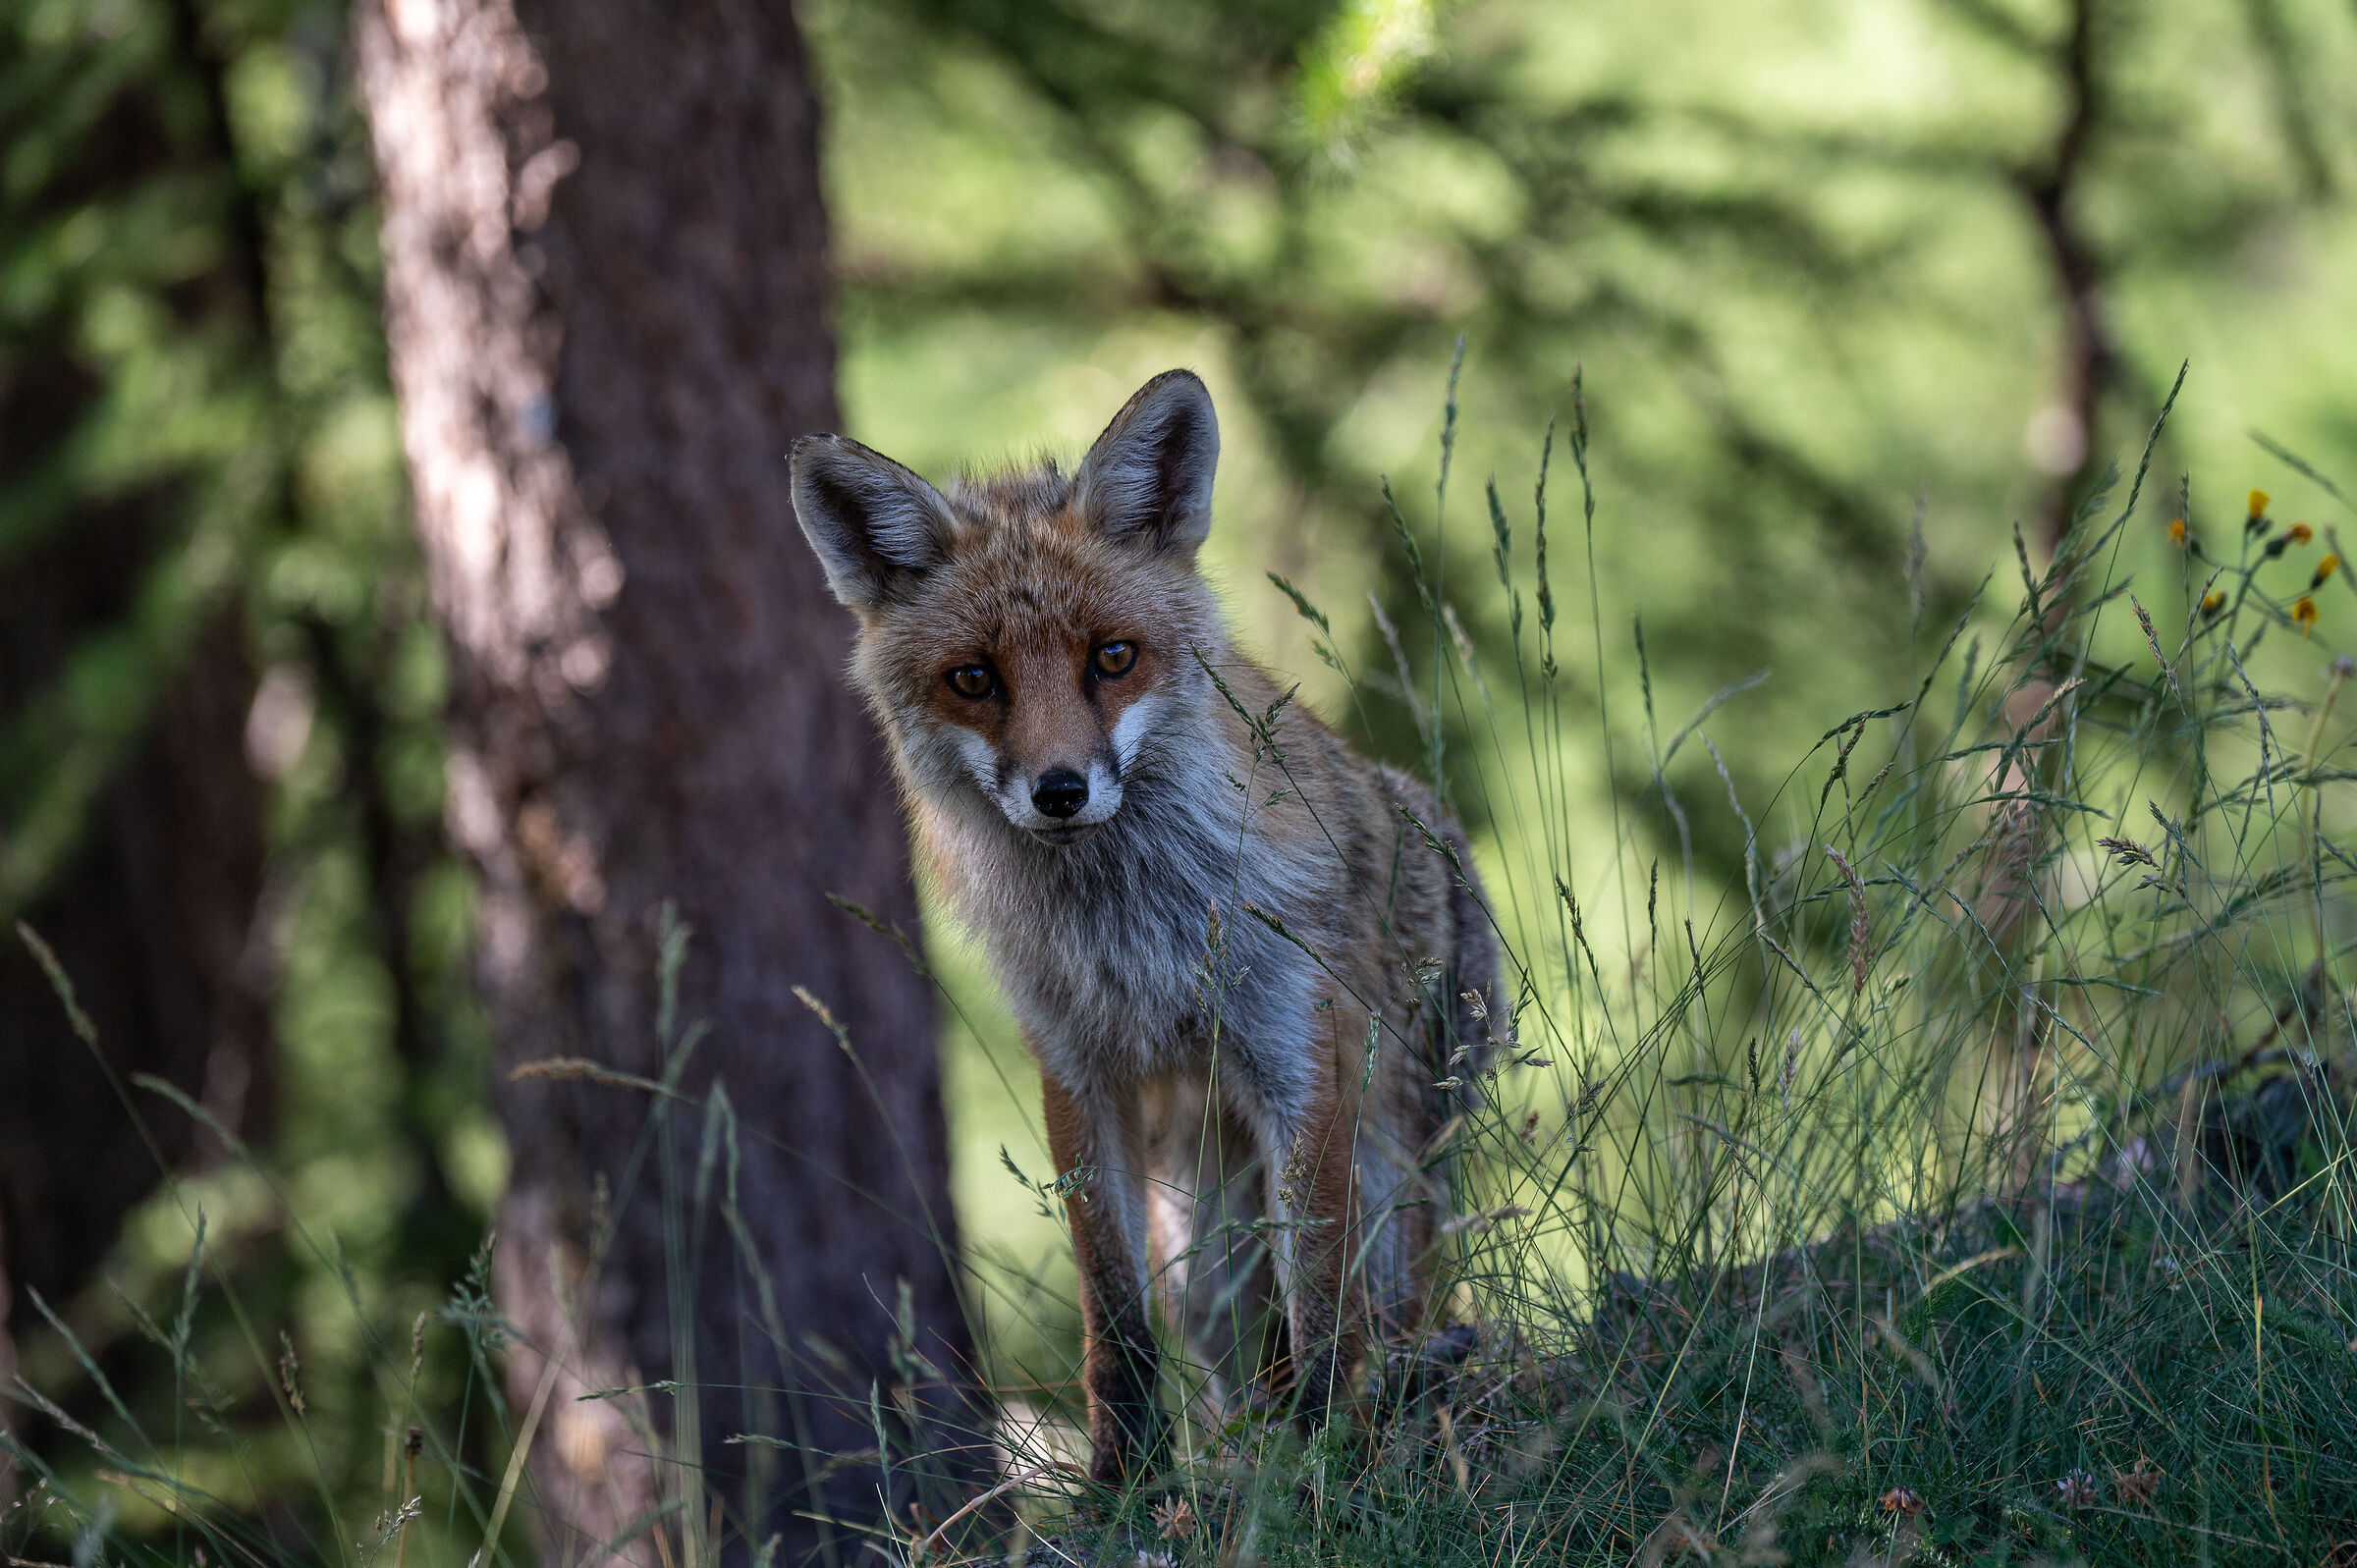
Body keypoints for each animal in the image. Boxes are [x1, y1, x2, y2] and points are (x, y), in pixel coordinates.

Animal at [790, 370, 1501, 1484]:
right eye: (974, 678)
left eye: (1113, 658)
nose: (1060, 790)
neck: (1131, 931)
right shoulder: (1077, 1069)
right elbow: (1110, 1308)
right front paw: (1123, 1477)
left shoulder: (1299, 1052)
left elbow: (1320, 1291)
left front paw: (1328, 1450)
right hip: (1199, 1254)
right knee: (1233, 1363)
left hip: (1392, 1172)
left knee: (1383, 1305)